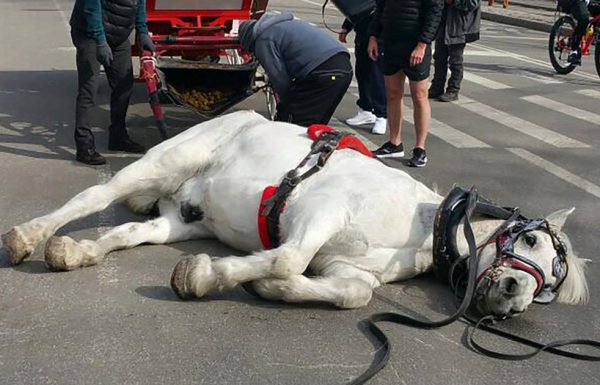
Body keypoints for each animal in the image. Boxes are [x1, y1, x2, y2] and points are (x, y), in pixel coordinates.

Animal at [0, 110, 588, 316]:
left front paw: (264, 288)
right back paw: (29, 236)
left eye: (550, 287)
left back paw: (75, 251)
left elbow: (353, 295)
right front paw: (211, 274)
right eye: (532, 241)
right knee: (93, 200)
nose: (514, 297)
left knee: (125, 232)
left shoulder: (347, 269)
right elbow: (286, 258)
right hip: (163, 163)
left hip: (180, 219)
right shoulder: (321, 211)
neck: (417, 224)